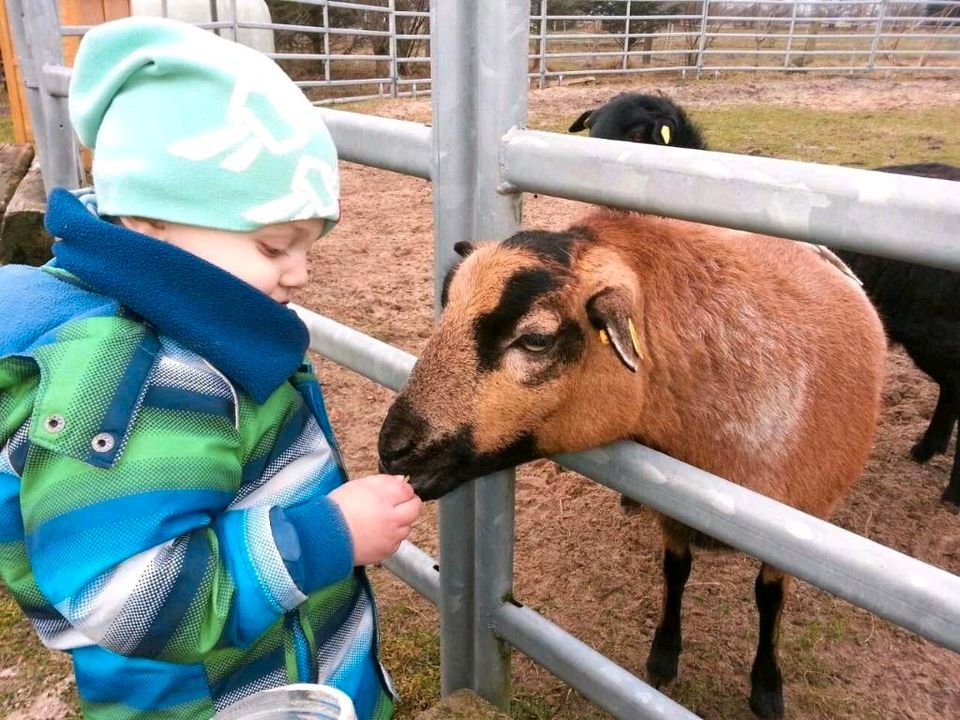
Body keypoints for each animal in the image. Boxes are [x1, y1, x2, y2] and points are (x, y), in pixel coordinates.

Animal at [378, 207, 888, 716]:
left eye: (536, 339)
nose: (391, 448)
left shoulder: (800, 524)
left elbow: (770, 597)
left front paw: (766, 687)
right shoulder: (674, 508)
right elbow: (676, 571)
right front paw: (664, 655)